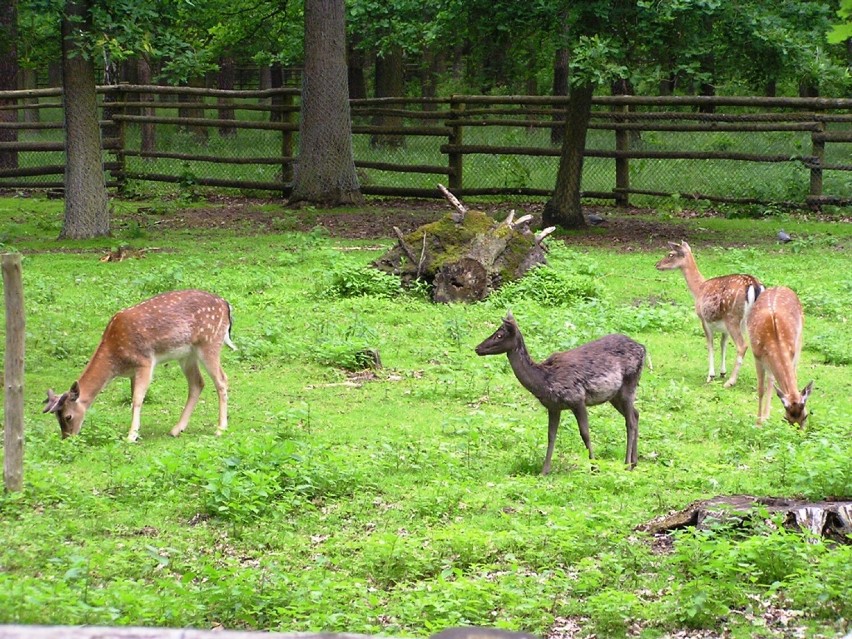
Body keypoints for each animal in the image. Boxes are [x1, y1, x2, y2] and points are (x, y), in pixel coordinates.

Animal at [45, 288, 235, 440]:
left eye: (68, 416)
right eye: (56, 418)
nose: (67, 438)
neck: (116, 360)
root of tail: (226, 305)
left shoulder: (145, 362)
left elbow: (137, 399)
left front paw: (131, 436)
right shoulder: (132, 372)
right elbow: (133, 398)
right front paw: (135, 431)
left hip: (209, 342)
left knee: (222, 380)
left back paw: (220, 429)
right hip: (187, 355)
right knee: (197, 383)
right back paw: (176, 429)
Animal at [656, 240, 768, 388]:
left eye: (670, 254)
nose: (657, 264)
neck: (698, 289)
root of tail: (754, 285)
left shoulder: (704, 319)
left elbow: (710, 345)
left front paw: (711, 375)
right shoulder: (723, 326)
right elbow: (723, 344)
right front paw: (722, 372)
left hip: (732, 317)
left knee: (742, 346)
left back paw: (730, 382)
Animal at [744, 286, 812, 428]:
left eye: (806, 416)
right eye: (787, 419)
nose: (799, 432)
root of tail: (779, 286)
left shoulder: (792, 354)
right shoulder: (757, 357)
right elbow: (760, 389)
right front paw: (758, 422)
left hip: (800, 340)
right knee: (770, 379)